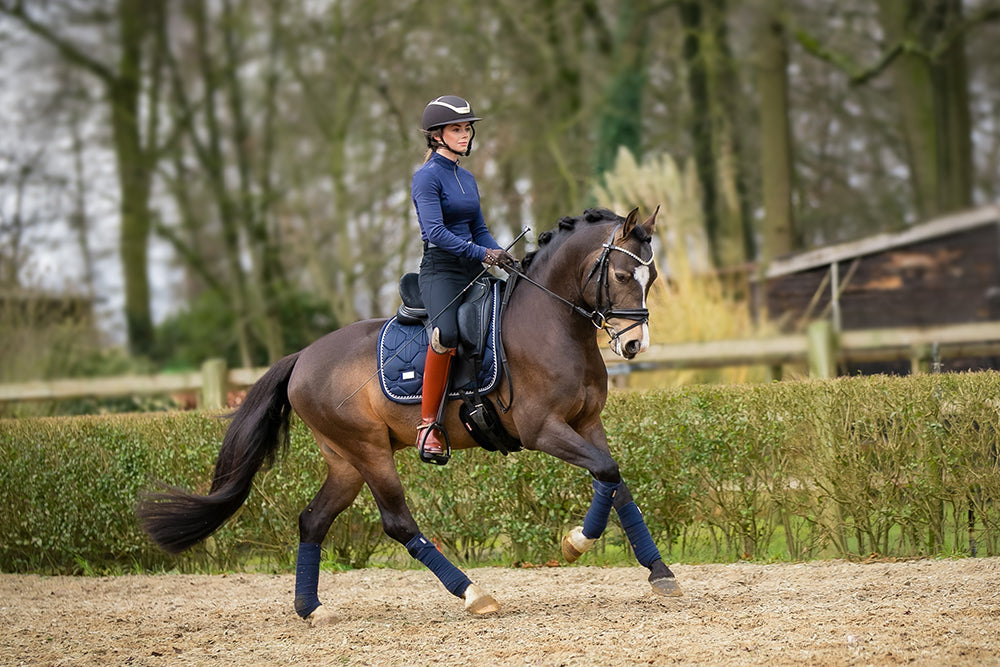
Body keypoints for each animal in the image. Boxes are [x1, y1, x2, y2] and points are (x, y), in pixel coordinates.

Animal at [137, 206, 682, 627]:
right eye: (620, 276)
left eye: (651, 277)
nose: (633, 346)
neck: (553, 324)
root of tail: (303, 357)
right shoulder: (543, 429)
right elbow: (606, 472)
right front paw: (575, 544)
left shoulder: (588, 424)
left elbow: (614, 481)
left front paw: (659, 573)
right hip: (369, 452)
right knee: (398, 523)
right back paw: (473, 594)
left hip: (345, 462)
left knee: (313, 520)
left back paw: (310, 607)